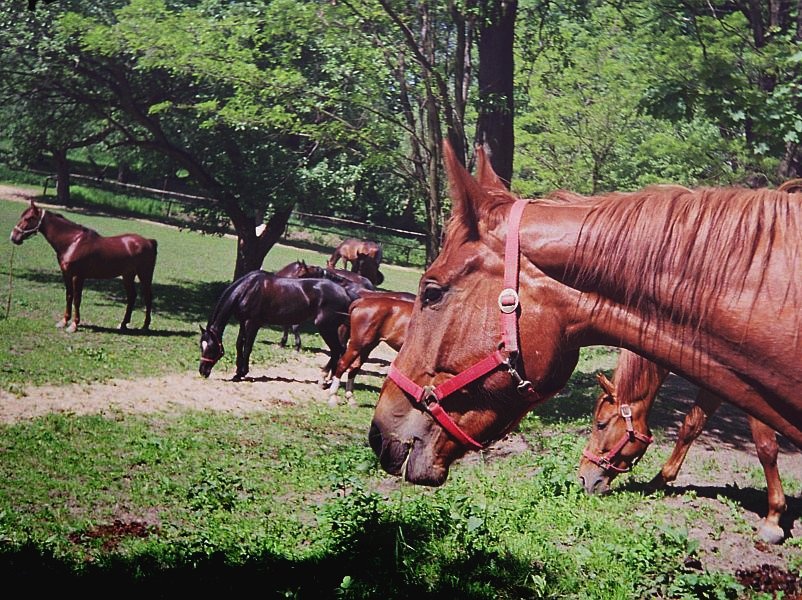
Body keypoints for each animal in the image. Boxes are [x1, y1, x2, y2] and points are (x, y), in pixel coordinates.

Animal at [9, 200, 157, 332]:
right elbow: (69, 296)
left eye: (28, 218)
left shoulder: (78, 276)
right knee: (132, 296)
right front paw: (64, 321)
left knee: (148, 297)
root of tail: (149, 241)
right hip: (127, 275)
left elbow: (77, 299)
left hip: (144, 275)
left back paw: (145, 326)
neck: (73, 242)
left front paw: (74, 325)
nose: (13, 237)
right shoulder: (66, 274)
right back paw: (123, 324)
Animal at [198, 270, 351, 383]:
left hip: (326, 328)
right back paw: (330, 378)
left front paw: (243, 372)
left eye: (211, 348)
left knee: (336, 350)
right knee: (339, 350)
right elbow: (239, 344)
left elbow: (247, 347)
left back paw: (324, 378)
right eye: (201, 346)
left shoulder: (253, 324)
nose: (202, 371)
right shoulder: (243, 322)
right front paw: (237, 373)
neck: (247, 289)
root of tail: (345, 293)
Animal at [578, 349, 786, 544]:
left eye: (601, 424)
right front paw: (658, 481)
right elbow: (691, 426)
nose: (583, 478)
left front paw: (773, 519)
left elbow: (766, 447)